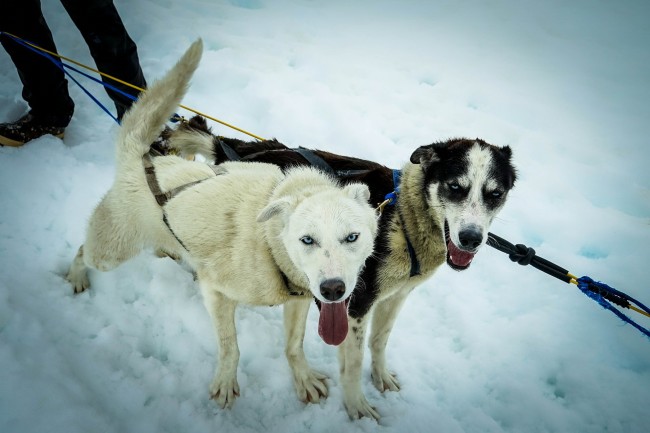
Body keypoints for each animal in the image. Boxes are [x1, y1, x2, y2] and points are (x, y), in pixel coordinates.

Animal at [66, 39, 378, 408]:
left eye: (352, 237)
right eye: (307, 240)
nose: (333, 289)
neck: (270, 244)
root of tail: (143, 160)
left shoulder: (299, 300)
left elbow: (294, 344)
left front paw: (302, 378)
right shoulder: (216, 292)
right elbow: (231, 347)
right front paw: (226, 382)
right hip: (109, 253)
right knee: (83, 250)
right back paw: (76, 276)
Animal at [167, 115, 516, 418]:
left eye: (495, 193)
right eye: (455, 186)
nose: (471, 238)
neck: (403, 218)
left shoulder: (395, 296)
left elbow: (380, 340)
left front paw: (380, 376)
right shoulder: (358, 304)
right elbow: (353, 363)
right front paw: (357, 407)